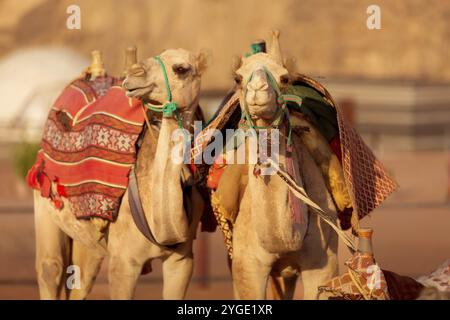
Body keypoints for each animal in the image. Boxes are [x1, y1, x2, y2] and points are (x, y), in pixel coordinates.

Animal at [33, 48, 211, 300]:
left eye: (181, 68)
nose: (134, 73)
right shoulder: (124, 262)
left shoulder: (182, 260)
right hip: (44, 200)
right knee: (51, 268)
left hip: (89, 243)